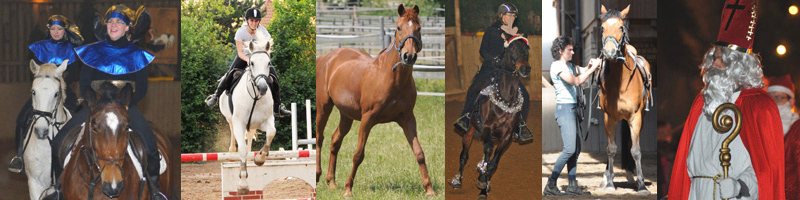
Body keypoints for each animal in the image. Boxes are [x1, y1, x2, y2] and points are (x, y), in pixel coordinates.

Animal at [219, 28, 278, 195]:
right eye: (251, 63)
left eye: (268, 63)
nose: (263, 88)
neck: (256, 98)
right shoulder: (239, 123)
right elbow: (242, 150)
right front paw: (243, 185)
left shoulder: (266, 120)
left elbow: (271, 132)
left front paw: (260, 158)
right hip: (231, 120)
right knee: (233, 134)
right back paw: (232, 153)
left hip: (252, 126)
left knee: (250, 138)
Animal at [316, 3, 434, 198]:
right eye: (398, 27)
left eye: (419, 28)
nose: (408, 56)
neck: (391, 78)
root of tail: (325, 58)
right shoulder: (367, 119)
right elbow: (358, 155)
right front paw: (348, 189)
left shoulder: (408, 119)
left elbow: (419, 152)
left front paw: (429, 189)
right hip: (324, 107)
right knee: (320, 138)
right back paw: (318, 176)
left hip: (346, 115)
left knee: (335, 140)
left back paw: (331, 182)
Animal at [450, 34, 532, 200]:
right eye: (512, 47)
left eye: (527, 48)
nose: (525, 68)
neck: (505, 99)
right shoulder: (487, 129)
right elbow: (487, 150)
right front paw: (482, 180)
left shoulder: (506, 136)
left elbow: (494, 163)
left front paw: (484, 185)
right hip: (469, 132)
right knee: (464, 156)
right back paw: (457, 181)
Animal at [596, 5, 652, 195]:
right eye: (602, 28)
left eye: (621, 27)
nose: (609, 52)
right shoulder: (609, 118)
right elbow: (611, 149)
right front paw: (609, 183)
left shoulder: (635, 117)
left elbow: (635, 150)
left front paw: (641, 185)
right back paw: (607, 177)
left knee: (629, 144)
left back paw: (630, 176)